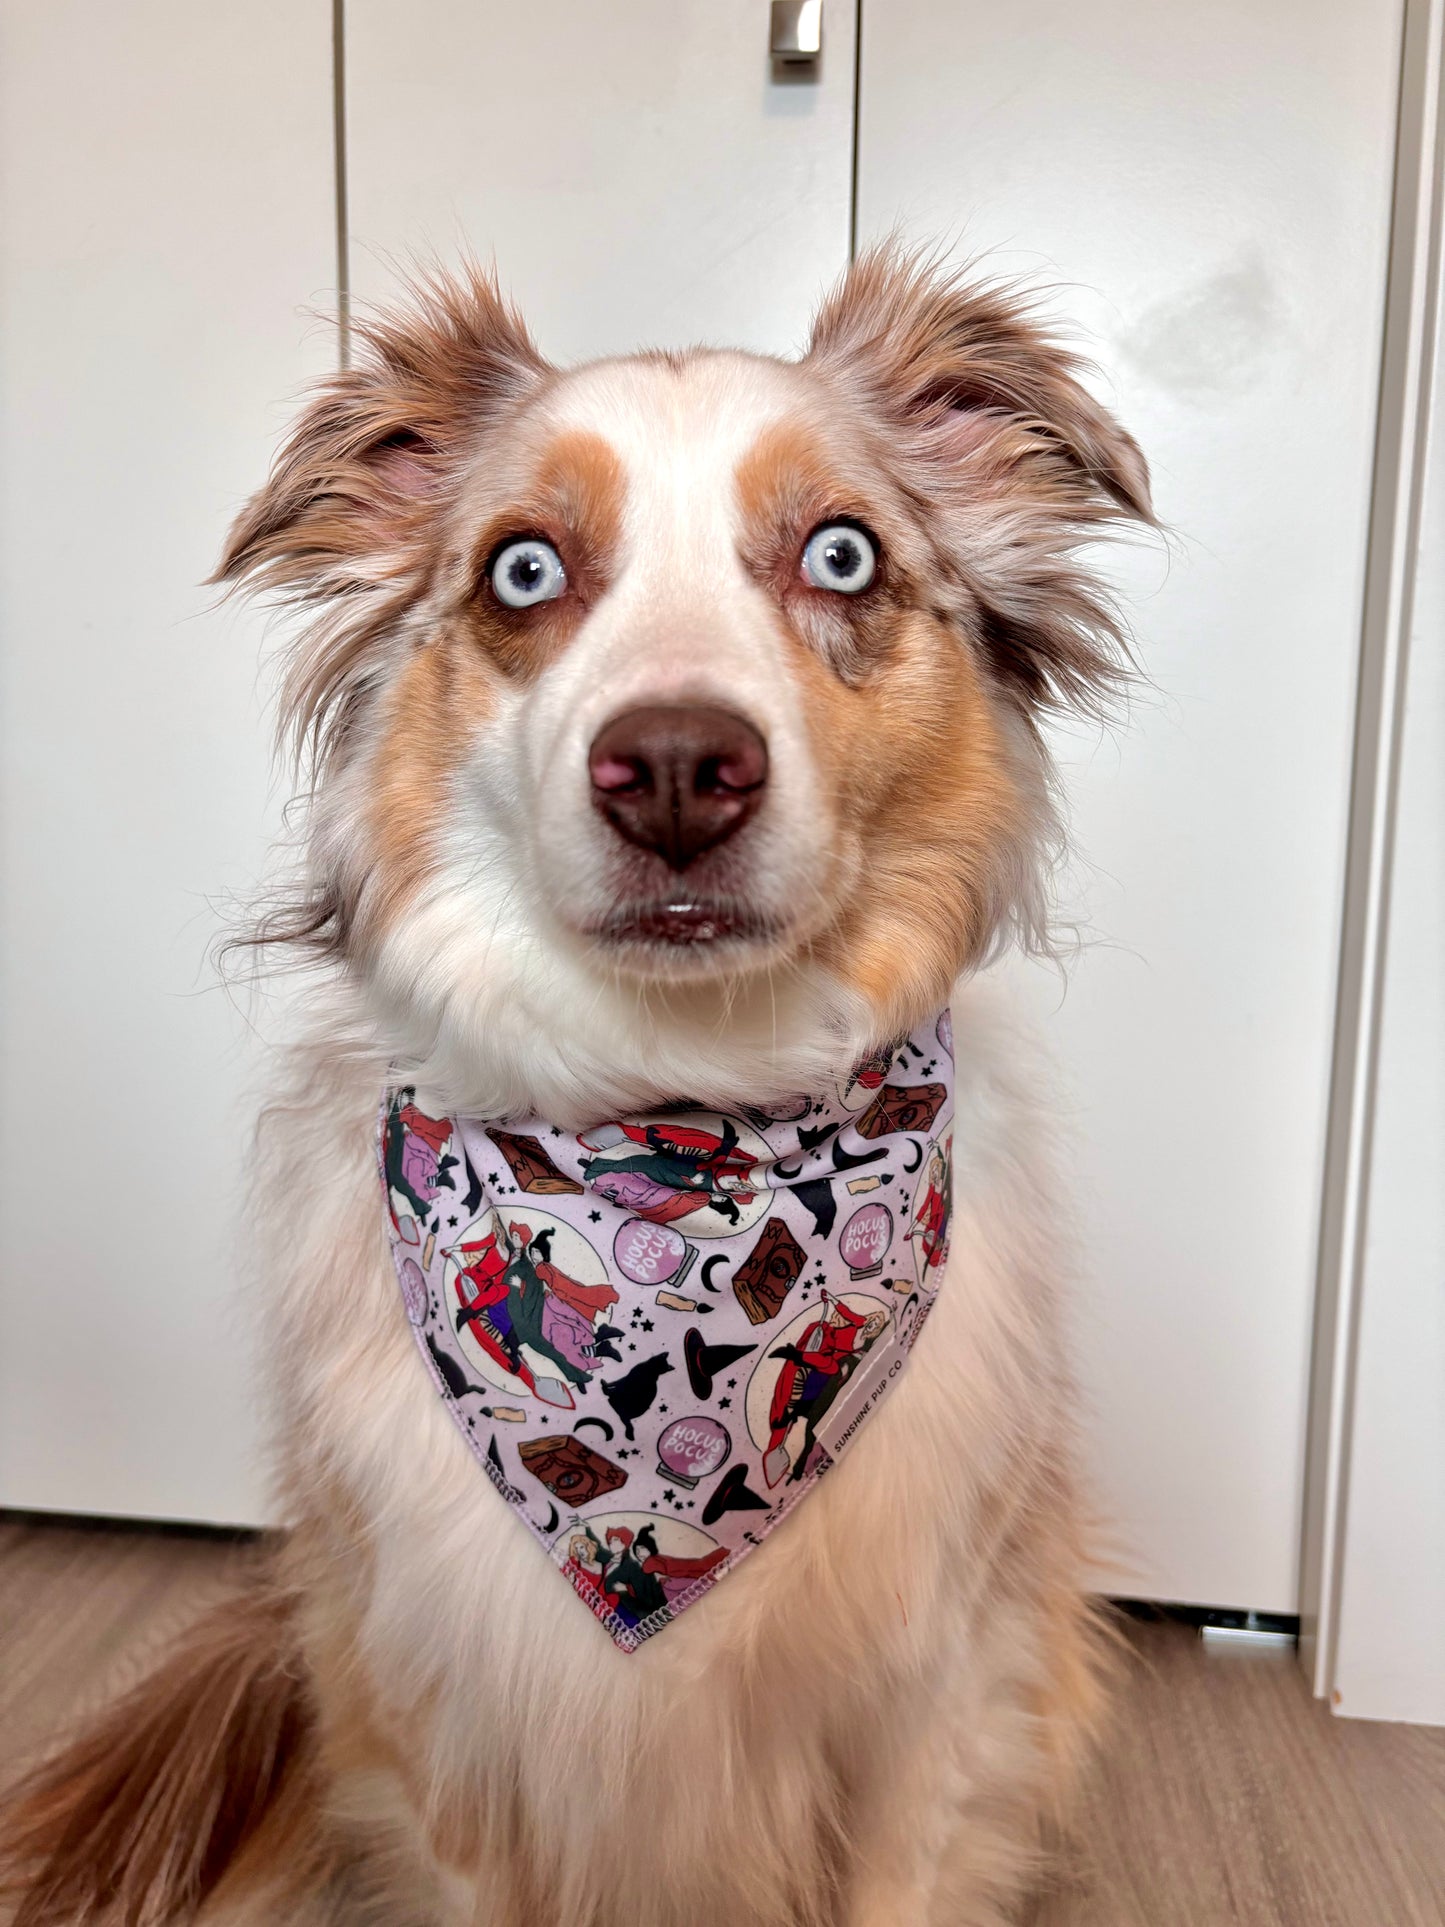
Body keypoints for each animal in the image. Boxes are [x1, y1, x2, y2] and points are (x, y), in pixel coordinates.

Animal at [0, 248, 1156, 1919]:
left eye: (843, 553)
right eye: (523, 572)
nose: (675, 768)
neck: (674, 1115)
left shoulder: (932, 1708)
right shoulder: (452, 1728)